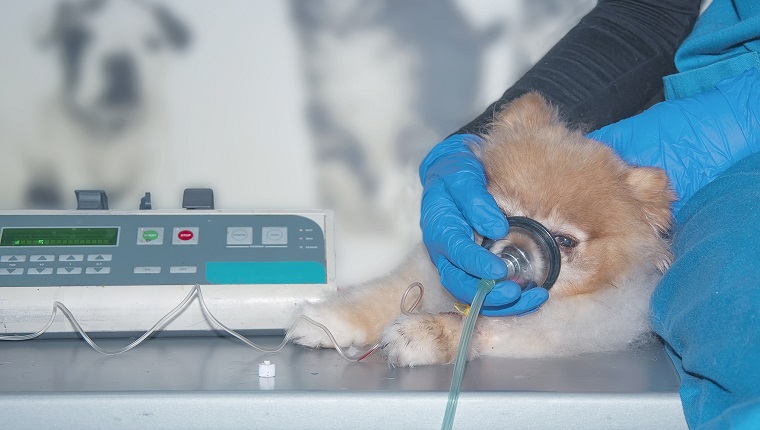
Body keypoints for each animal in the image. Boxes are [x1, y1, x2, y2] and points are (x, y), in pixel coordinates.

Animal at [20, 0, 190, 208]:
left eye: (152, 42)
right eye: (79, 39)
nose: (120, 62)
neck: (110, 127)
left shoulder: (155, 166)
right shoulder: (73, 166)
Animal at [284, 91, 672, 366]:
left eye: (564, 240)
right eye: (500, 213)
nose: (514, 252)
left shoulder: (574, 326)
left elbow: (480, 325)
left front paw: (421, 332)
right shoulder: (426, 273)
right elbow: (374, 296)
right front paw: (325, 320)